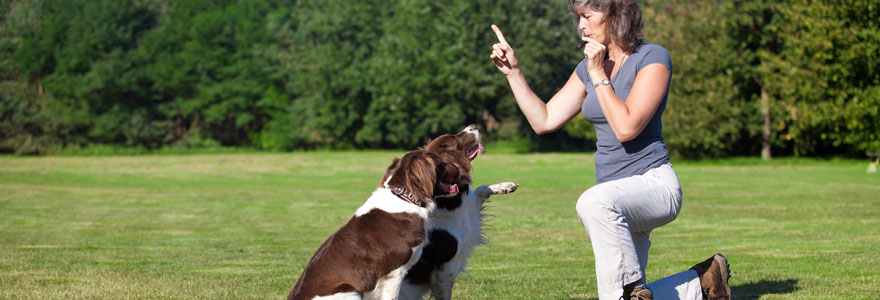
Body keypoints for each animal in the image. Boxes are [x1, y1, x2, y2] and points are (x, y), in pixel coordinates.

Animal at [398, 125, 516, 300]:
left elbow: (481, 189)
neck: (446, 200)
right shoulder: (446, 267)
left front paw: (506, 186)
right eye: (454, 138)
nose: (473, 126)